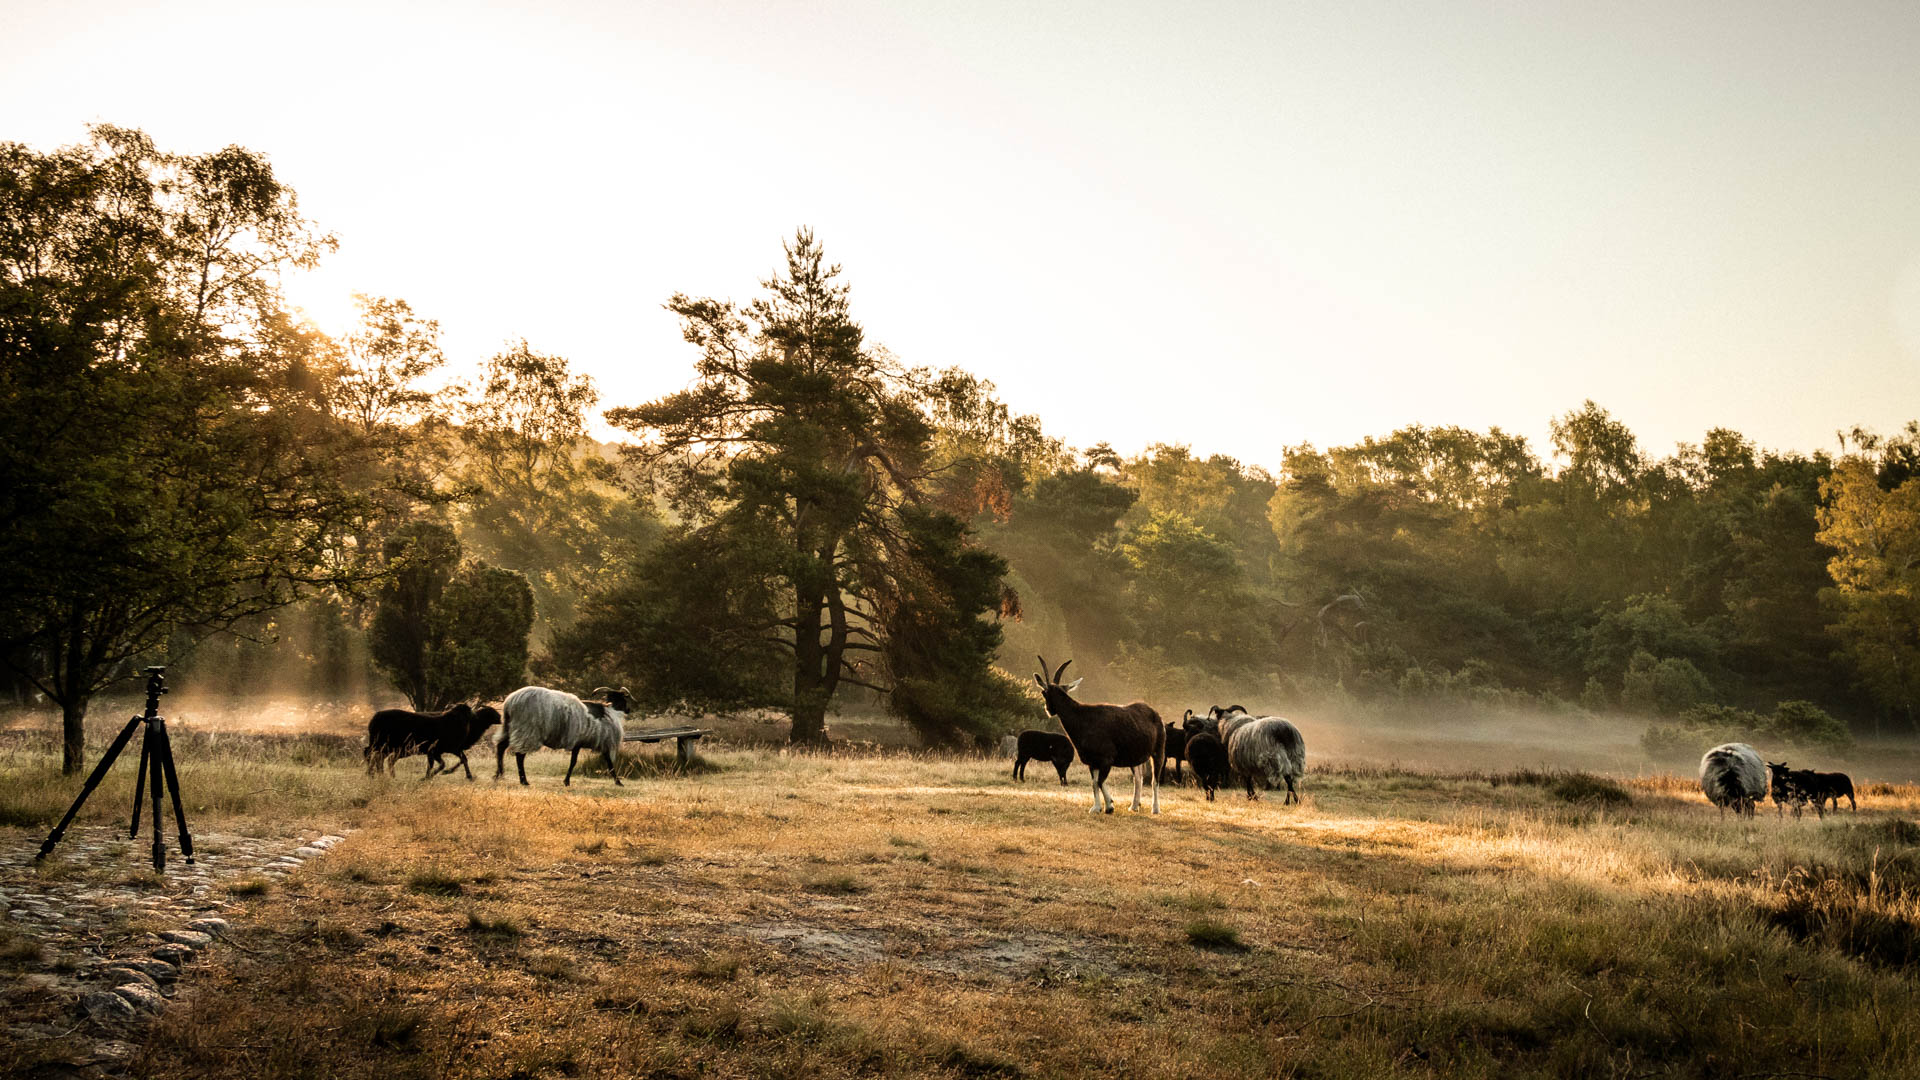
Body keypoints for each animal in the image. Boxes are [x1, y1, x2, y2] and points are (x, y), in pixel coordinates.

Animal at [364, 703, 503, 776]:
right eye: (492, 713)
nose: (502, 719)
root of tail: (374, 718)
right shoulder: (440, 749)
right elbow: (453, 761)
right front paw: (441, 773)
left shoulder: (446, 750)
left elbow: (463, 759)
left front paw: (468, 776)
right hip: (383, 744)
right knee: (371, 754)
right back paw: (372, 774)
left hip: (387, 746)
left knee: (380, 758)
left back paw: (380, 774)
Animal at [487, 684, 629, 787]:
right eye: (623, 698)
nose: (628, 710)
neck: (611, 712)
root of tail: (509, 702)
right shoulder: (595, 742)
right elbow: (607, 763)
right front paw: (618, 782)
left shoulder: (580, 743)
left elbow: (575, 761)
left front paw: (566, 781)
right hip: (527, 730)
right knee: (519, 755)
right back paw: (524, 781)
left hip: (510, 727)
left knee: (501, 747)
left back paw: (499, 774)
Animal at [1036, 653, 1167, 810]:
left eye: (1045, 692)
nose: (1048, 710)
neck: (1083, 718)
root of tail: (1156, 714)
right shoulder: (1092, 762)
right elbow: (1094, 783)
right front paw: (1097, 807)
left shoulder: (1106, 759)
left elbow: (1099, 782)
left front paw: (1109, 806)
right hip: (1135, 756)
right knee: (1138, 778)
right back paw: (1134, 806)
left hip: (1158, 751)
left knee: (1155, 780)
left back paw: (1155, 809)